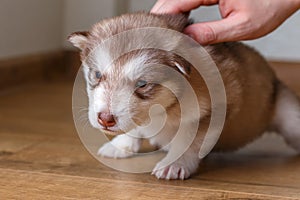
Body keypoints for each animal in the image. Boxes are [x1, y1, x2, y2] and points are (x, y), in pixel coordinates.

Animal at [69, 11, 300, 180]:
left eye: (142, 84)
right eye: (97, 74)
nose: (105, 119)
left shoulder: (212, 109)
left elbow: (189, 141)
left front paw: (174, 164)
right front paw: (121, 145)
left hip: (289, 116)